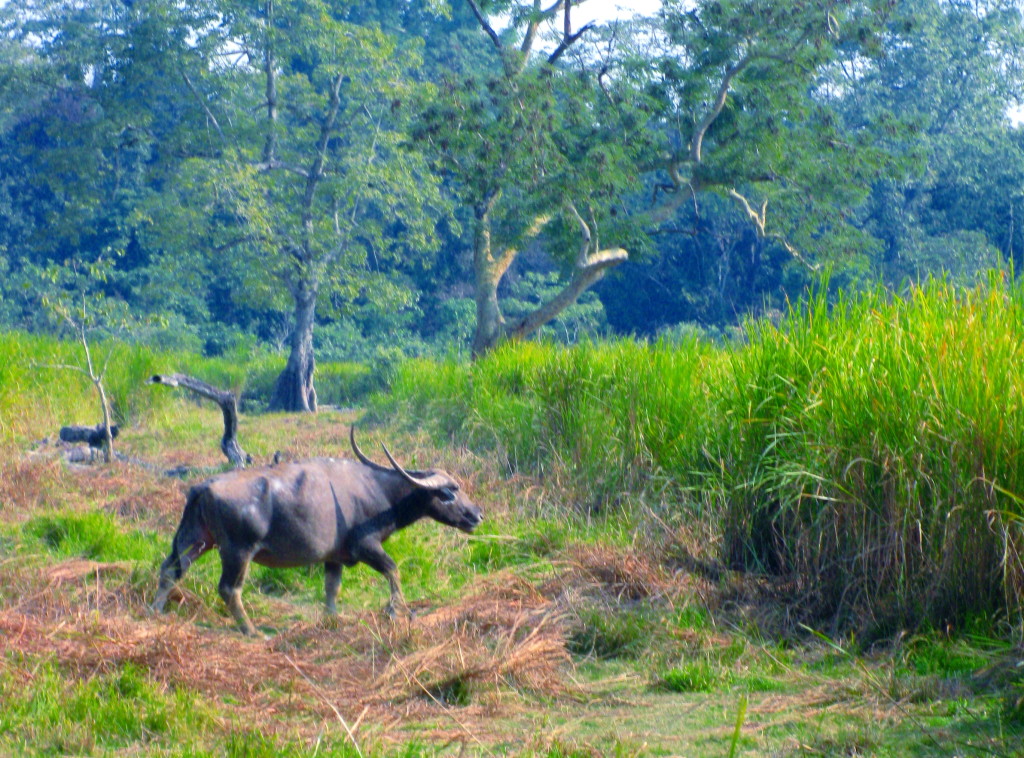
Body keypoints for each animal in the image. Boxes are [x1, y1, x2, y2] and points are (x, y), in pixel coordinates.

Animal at [151, 426, 483, 635]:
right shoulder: (366, 545)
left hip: (194, 539)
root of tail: (202, 487)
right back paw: (252, 631)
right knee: (229, 589)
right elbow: (393, 569)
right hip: (237, 550)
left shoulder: (334, 557)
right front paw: (399, 611)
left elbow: (331, 588)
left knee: (170, 569)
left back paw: (153, 610)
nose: (477, 515)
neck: (379, 490)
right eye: (450, 492)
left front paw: (332, 619)